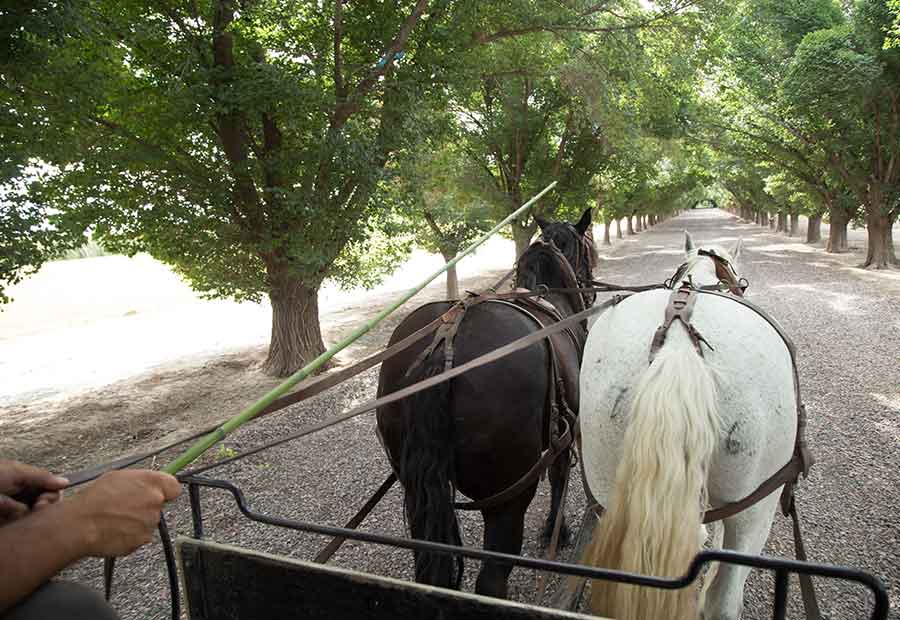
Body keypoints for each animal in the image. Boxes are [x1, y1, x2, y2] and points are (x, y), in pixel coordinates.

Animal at [374, 208, 596, 596]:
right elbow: (558, 478)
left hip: (416, 490)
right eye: (588, 247)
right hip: (507, 496)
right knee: (492, 578)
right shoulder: (564, 430)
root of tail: (446, 343)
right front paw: (557, 528)